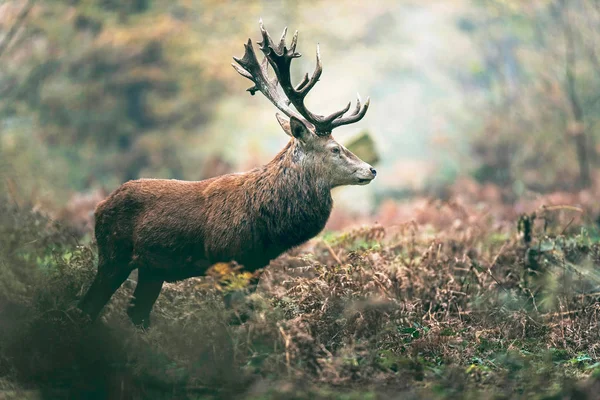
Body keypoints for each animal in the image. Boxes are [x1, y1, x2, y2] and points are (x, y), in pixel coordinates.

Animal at [76, 19, 376, 328]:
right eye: (335, 148)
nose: (371, 169)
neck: (269, 226)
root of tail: (99, 207)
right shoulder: (228, 261)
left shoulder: (255, 267)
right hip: (113, 254)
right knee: (87, 305)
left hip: (151, 269)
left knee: (135, 312)